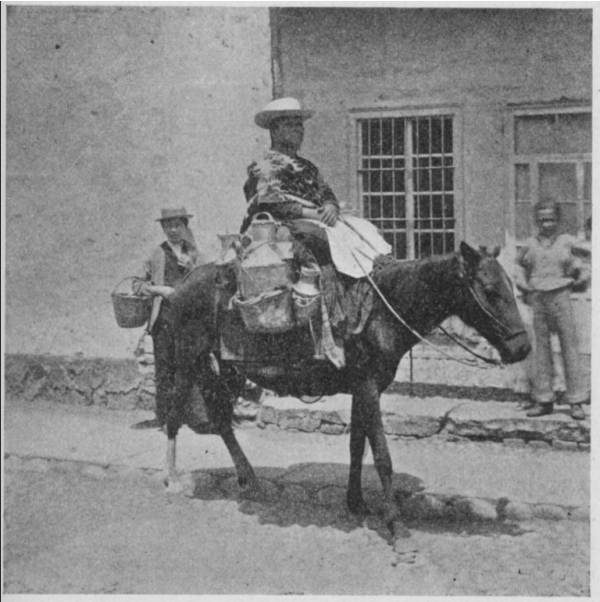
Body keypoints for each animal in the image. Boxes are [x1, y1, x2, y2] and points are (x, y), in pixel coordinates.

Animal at [163, 239, 528, 552]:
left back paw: (249, 480)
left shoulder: (362, 387)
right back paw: (172, 479)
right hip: (188, 361)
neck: (383, 310)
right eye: (491, 291)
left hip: (219, 370)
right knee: (174, 414)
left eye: (511, 287)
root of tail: (178, 286)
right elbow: (381, 456)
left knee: (220, 419)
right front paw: (397, 527)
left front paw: (357, 503)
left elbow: (357, 446)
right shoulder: (367, 384)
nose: (522, 348)